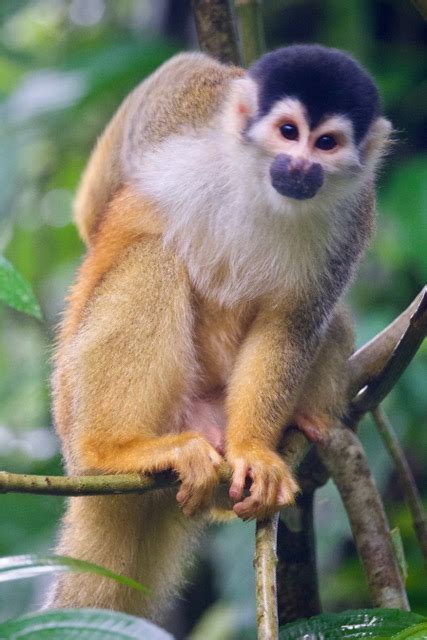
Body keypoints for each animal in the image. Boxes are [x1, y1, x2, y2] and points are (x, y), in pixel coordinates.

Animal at [47, 45, 391, 619]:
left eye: (327, 143)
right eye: (288, 132)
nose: (301, 167)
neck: (260, 188)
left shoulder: (354, 216)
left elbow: (294, 319)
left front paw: (254, 448)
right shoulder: (186, 118)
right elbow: (98, 206)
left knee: (333, 317)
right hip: (75, 407)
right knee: (153, 260)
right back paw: (113, 448)